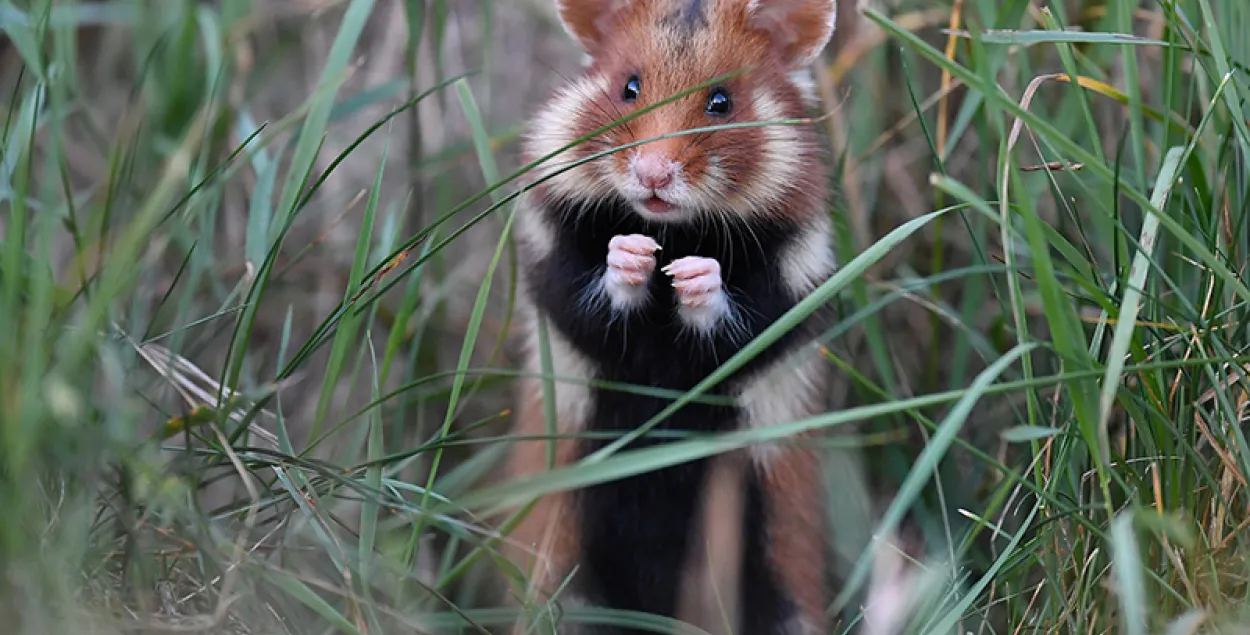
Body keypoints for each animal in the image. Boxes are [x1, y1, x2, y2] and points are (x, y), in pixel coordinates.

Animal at [500, 2, 840, 632]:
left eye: (722, 101)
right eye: (628, 88)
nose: (653, 177)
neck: (674, 227)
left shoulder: (793, 284)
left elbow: (739, 322)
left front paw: (691, 275)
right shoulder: (551, 262)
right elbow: (591, 298)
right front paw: (635, 254)